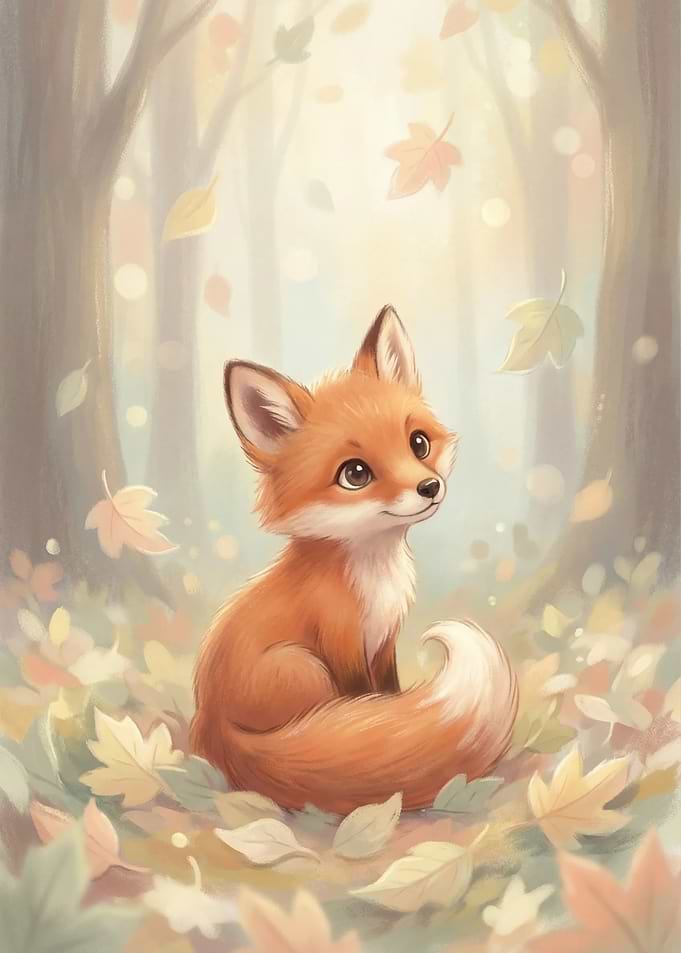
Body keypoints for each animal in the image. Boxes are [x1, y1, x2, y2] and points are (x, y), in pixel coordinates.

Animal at [190, 306, 518, 814]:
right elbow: (364, 699)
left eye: (418, 444)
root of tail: (212, 727)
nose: (429, 487)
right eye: (355, 474)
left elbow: (388, 693)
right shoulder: (342, 643)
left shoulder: (382, 640)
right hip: (302, 668)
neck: (374, 577)